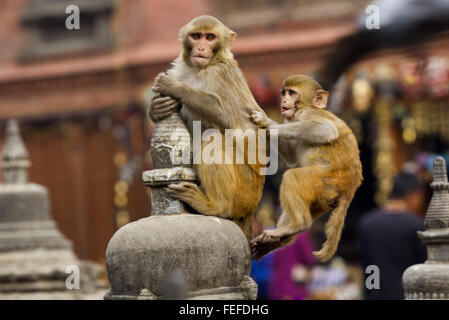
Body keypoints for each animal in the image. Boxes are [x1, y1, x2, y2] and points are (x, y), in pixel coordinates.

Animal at [149, 15, 266, 240]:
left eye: (210, 37)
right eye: (197, 36)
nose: (201, 48)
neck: (198, 69)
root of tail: (252, 208)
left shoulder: (219, 74)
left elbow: (228, 117)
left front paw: (174, 87)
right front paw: (156, 108)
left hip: (244, 190)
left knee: (213, 138)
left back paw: (216, 206)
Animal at [250, 75, 362, 262]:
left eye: (292, 93)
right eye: (284, 92)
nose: (283, 100)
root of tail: (349, 189)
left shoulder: (307, 114)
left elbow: (326, 129)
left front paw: (269, 123)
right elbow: (291, 157)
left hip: (325, 182)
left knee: (292, 177)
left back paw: (298, 225)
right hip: (322, 200)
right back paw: (277, 240)